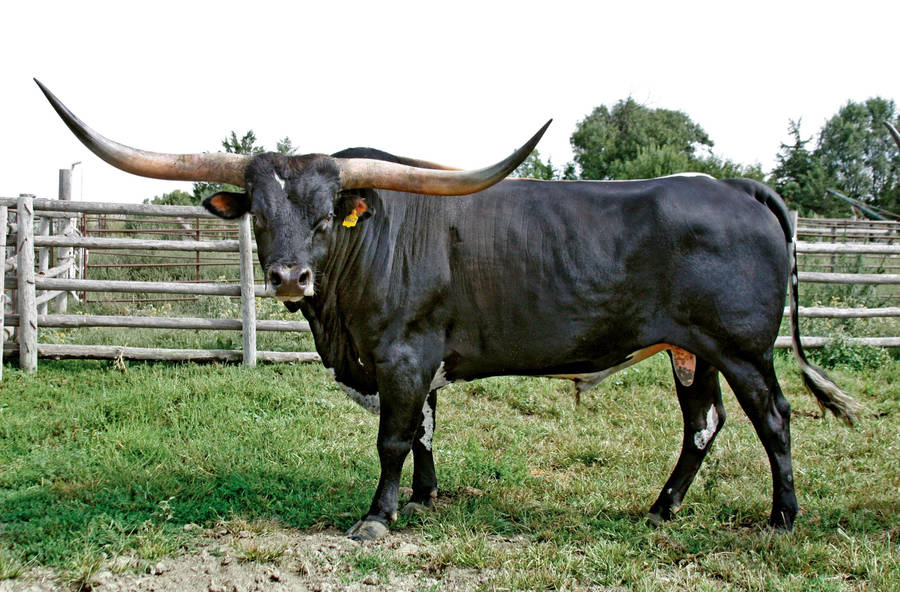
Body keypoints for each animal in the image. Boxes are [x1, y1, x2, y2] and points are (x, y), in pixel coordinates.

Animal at [37, 79, 859, 541]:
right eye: (260, 216)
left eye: (326, 213)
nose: (290, 276)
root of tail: (734, 186)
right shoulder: (417, 359)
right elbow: (427, 431)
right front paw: (427, 499)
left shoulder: (402, 353)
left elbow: (394, 437)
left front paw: (378, 515)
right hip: (692, 350)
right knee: (703, 424)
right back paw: (662, 510)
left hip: (742, 348)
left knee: (773, 419)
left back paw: (782, 520)